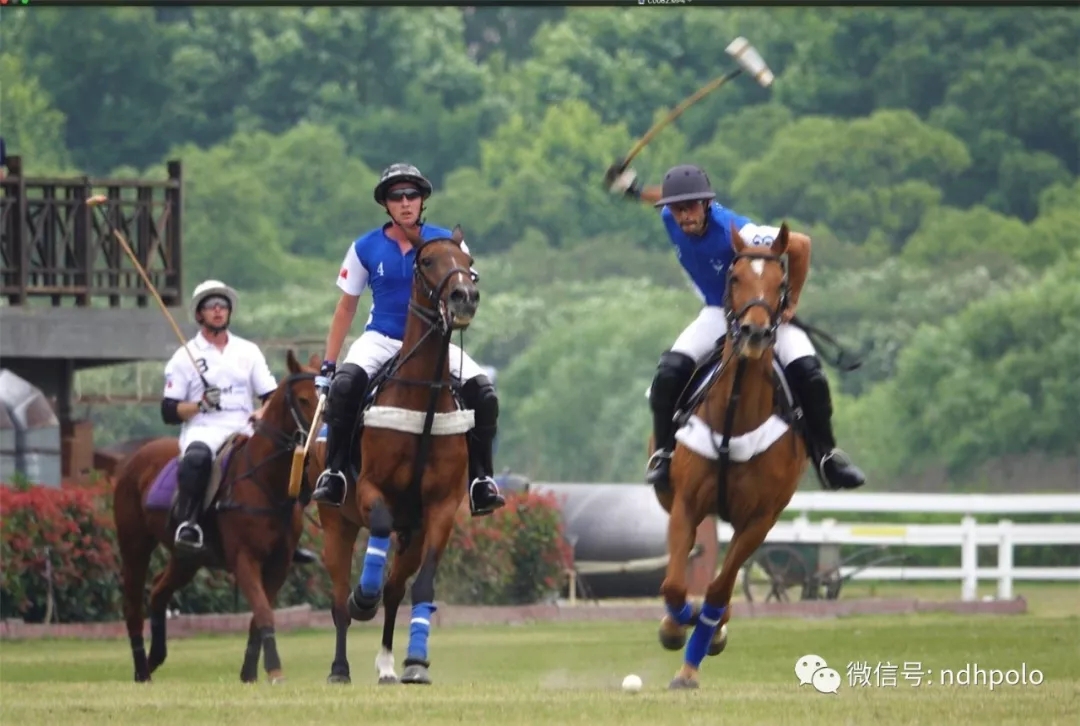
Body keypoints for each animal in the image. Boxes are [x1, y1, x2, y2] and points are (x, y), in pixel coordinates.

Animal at [113, 347, 317, 682]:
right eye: (302, 399)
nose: (319, 440)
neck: (266, 482)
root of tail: (133, 459)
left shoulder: (280, 563)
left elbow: (258, 617)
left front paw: (249, 674)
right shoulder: (244, 557)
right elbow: (263, 612)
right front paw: (274, 671)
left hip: (187, 559)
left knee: (158, 590)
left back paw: (156, 657)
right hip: (134, 544)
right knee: (132, 603)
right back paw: (142, 670)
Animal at [315, 225, 479, 687]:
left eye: (467, 261)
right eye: (428, 261)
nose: (464, 296)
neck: (423, 400)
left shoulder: (440, 508)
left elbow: (421, 587)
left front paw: (416, 662)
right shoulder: (372, 488)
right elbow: (379, 528)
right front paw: (363, 597)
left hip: (414, 531)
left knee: (394, 589)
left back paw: (389, 664)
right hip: (335, 523)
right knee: (339, 599)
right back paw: (339, 666)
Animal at [643, 223, 807, 687]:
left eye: (780, 283)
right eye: (734, 278)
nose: (754, 333)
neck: (735, 417)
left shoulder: (760, 518)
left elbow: (718, 588)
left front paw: (693, 660)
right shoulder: (686, 503)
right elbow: (675, 585)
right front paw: (675, 624)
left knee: (728, 579)